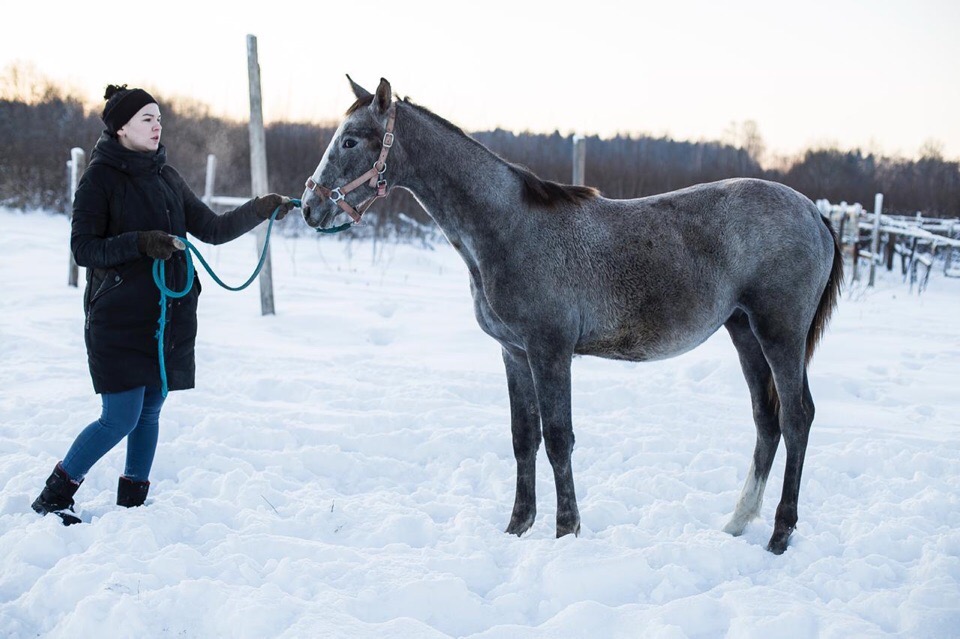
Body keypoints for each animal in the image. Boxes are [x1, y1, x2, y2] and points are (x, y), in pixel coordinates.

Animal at [301, 76, 843, 554]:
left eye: (350, 140)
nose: (308, 206)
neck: (509, 228)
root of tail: (815, 214)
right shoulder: (514, 353)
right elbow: (523, 439)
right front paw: (517, 527)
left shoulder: (550, 351)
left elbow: (559, 439)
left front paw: (566, 531)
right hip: (744, 331)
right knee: (766, 420)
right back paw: (736, 522)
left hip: (779, 334)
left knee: (796, 417)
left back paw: (779, 535)